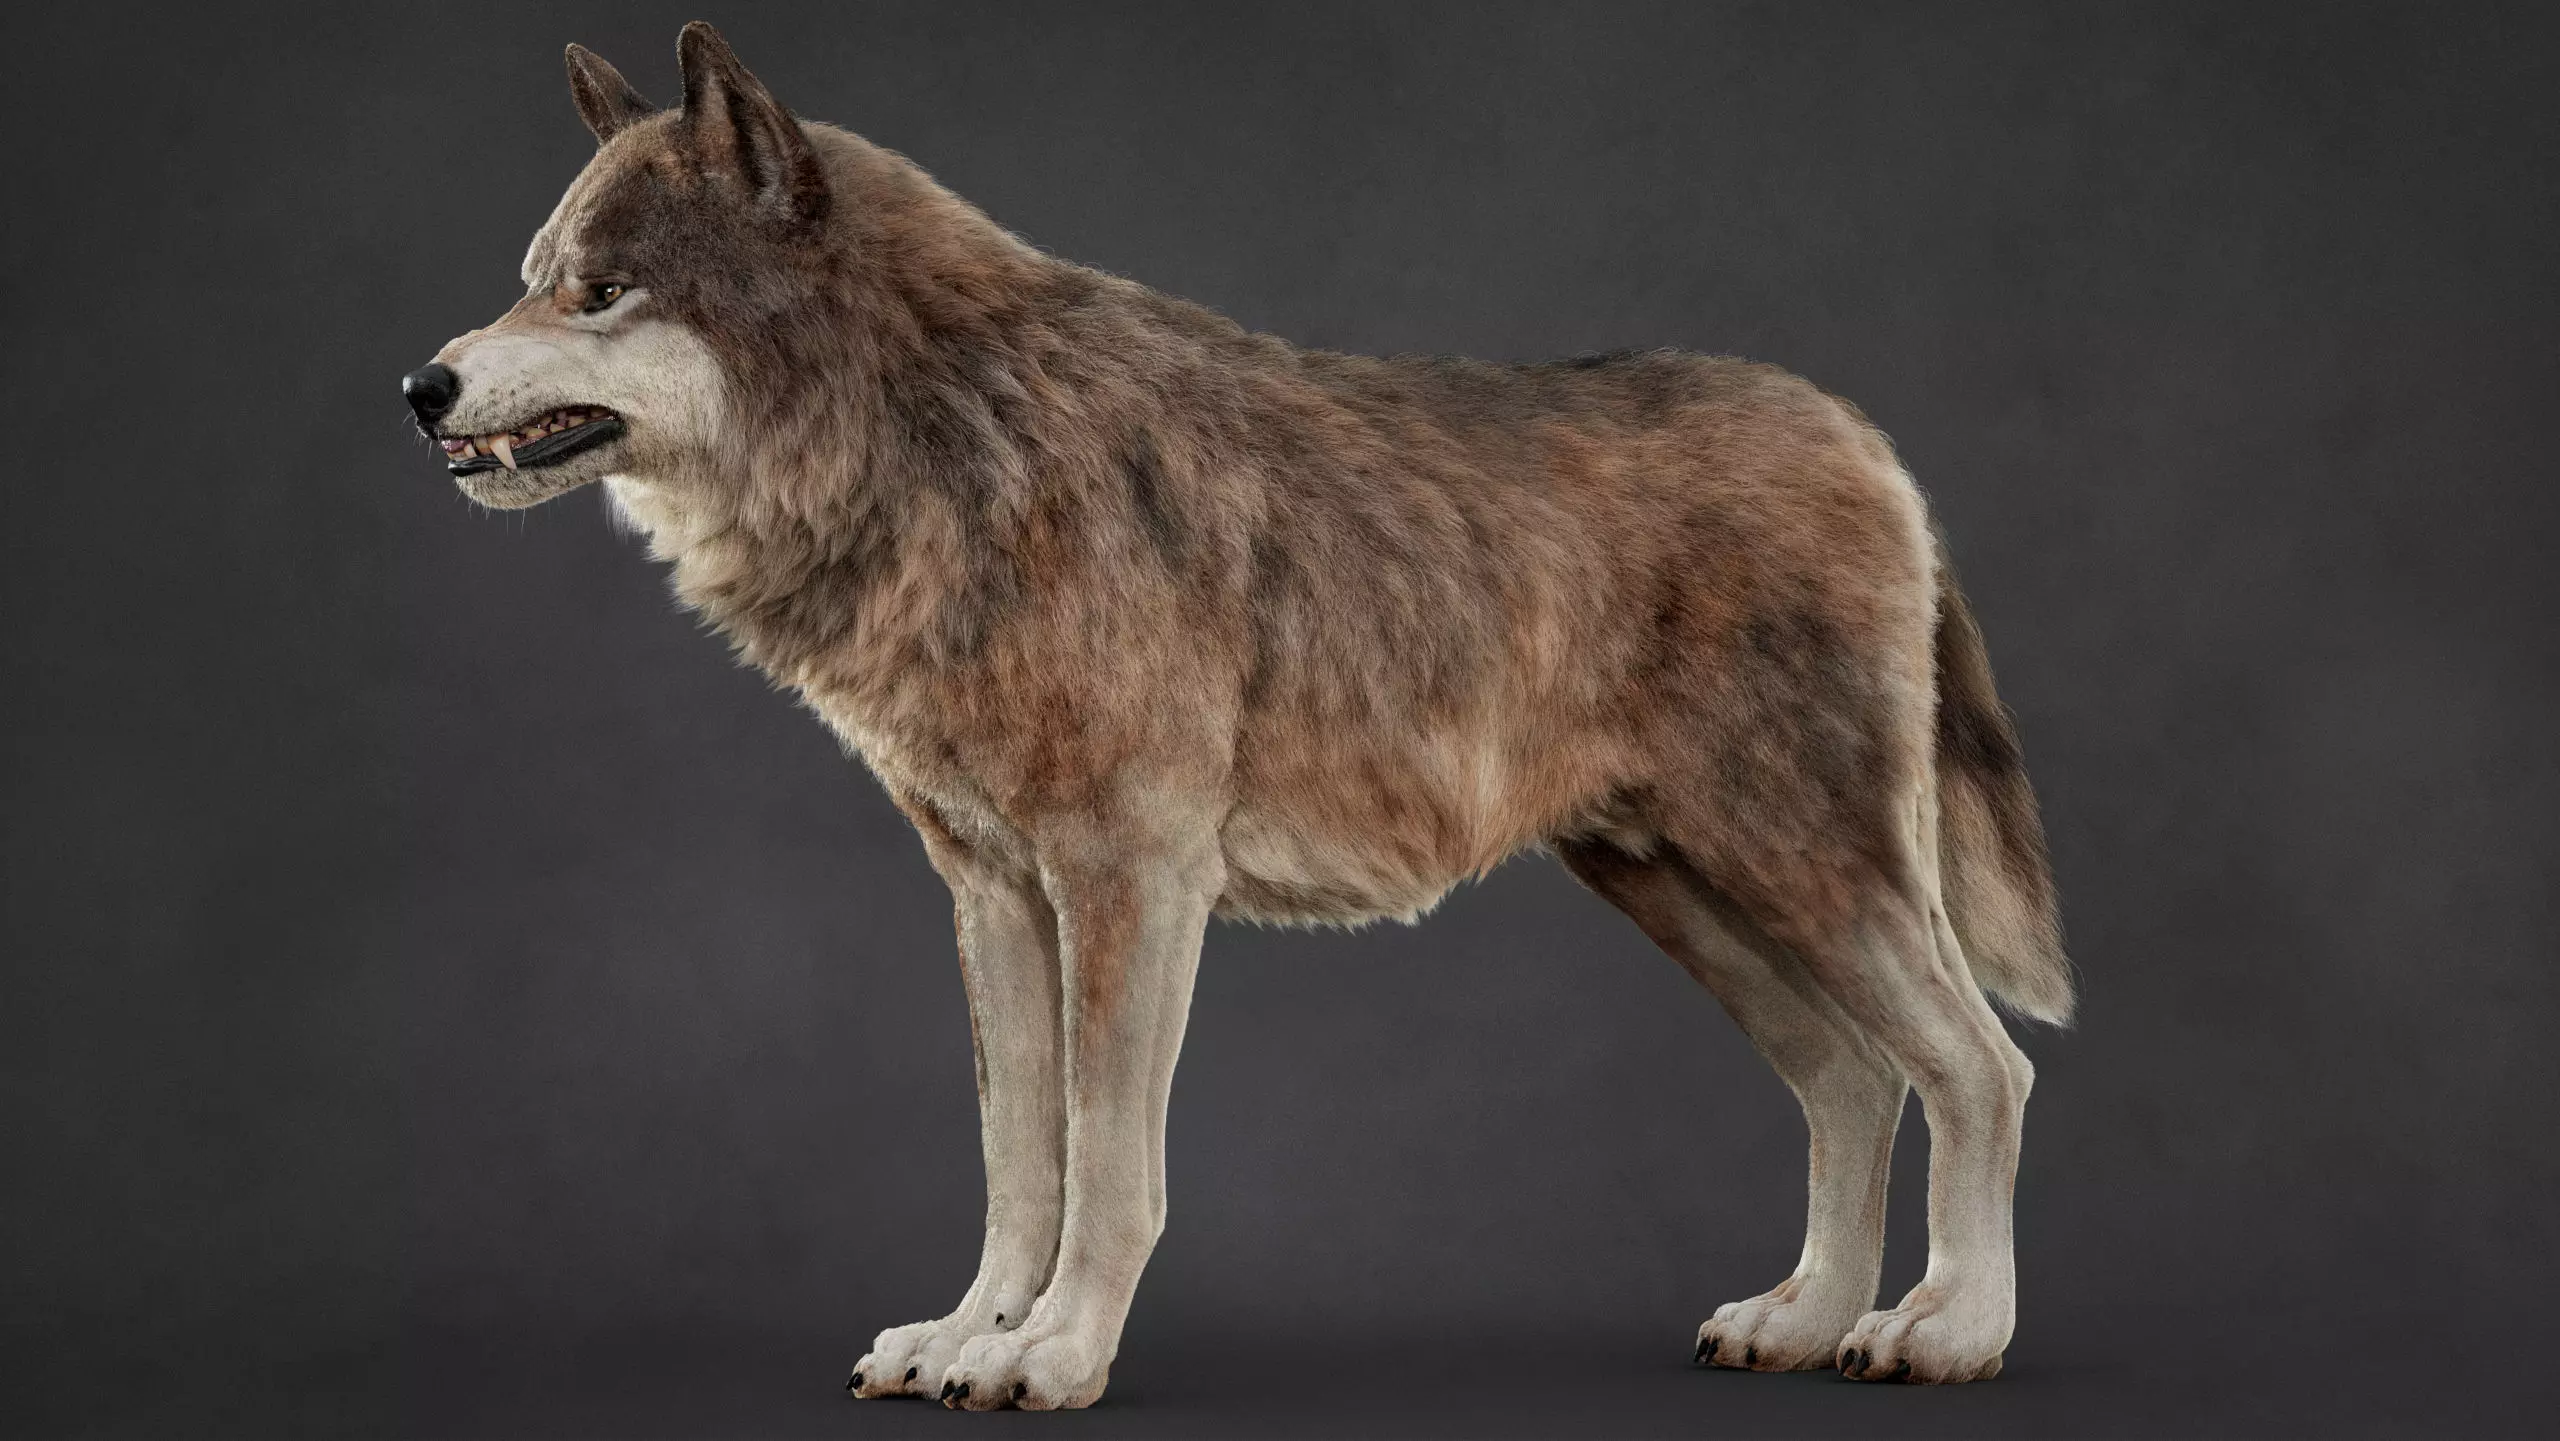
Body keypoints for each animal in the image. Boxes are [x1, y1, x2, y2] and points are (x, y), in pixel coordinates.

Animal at [403, 22, 2069, 1409]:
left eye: (601, 290)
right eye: (532, 273)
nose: (423, 386)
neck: (949, 449)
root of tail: (1868, 442)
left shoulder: (1131, 881)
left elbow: (1110, 1168)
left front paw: (1056, 1357)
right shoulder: (996, 894)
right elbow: (1021, 1160)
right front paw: (967, 1336)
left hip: (1811, 876)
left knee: (1984, 1070)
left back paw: (1949, 1333)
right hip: (1688, 891)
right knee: (1858, 1082)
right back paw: (1802, 1321)